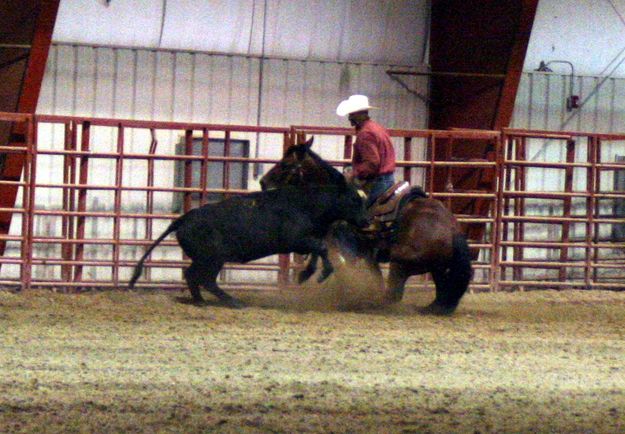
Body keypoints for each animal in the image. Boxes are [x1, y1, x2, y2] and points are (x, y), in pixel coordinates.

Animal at [260, 137, 472, 314]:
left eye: (286, 164)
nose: (263, 182)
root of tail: (453, 230)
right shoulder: (366, 252)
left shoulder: (342, 245)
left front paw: (311, 275)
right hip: (437, 269)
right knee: (439, 297)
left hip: (401, 263)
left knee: (392, 295)